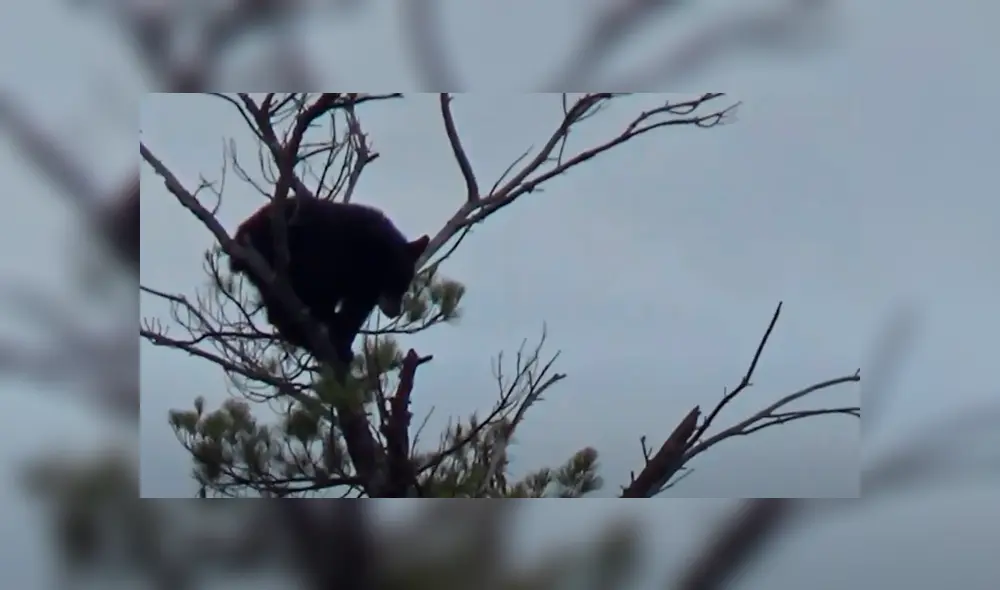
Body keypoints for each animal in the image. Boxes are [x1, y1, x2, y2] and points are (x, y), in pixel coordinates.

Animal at [229, 195, 430, 365]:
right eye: (392, 281)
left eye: (404, 286)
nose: (395, 311)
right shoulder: (328, 254)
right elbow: (320, 287)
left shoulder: (364, 289)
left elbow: (353, 313)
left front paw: (342, 344)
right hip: (269, 253)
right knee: (279, 301)